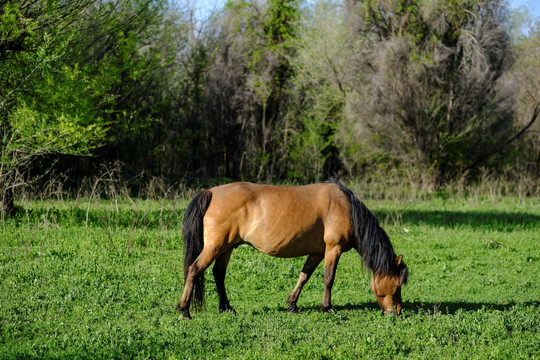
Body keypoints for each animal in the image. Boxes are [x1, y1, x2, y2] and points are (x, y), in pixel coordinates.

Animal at [175, 179, 408, 320]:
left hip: (227, 247)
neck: (347, 209)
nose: (397, 312)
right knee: (194, 269)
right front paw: (327, 307)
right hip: (215, 246)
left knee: (218, 274)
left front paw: (292, 305)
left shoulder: (317, 252)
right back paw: (184, 309)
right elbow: (328, 278)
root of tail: (211, 192)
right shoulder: (333, 249)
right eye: (397, 285)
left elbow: (304, 276)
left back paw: (226, 307)